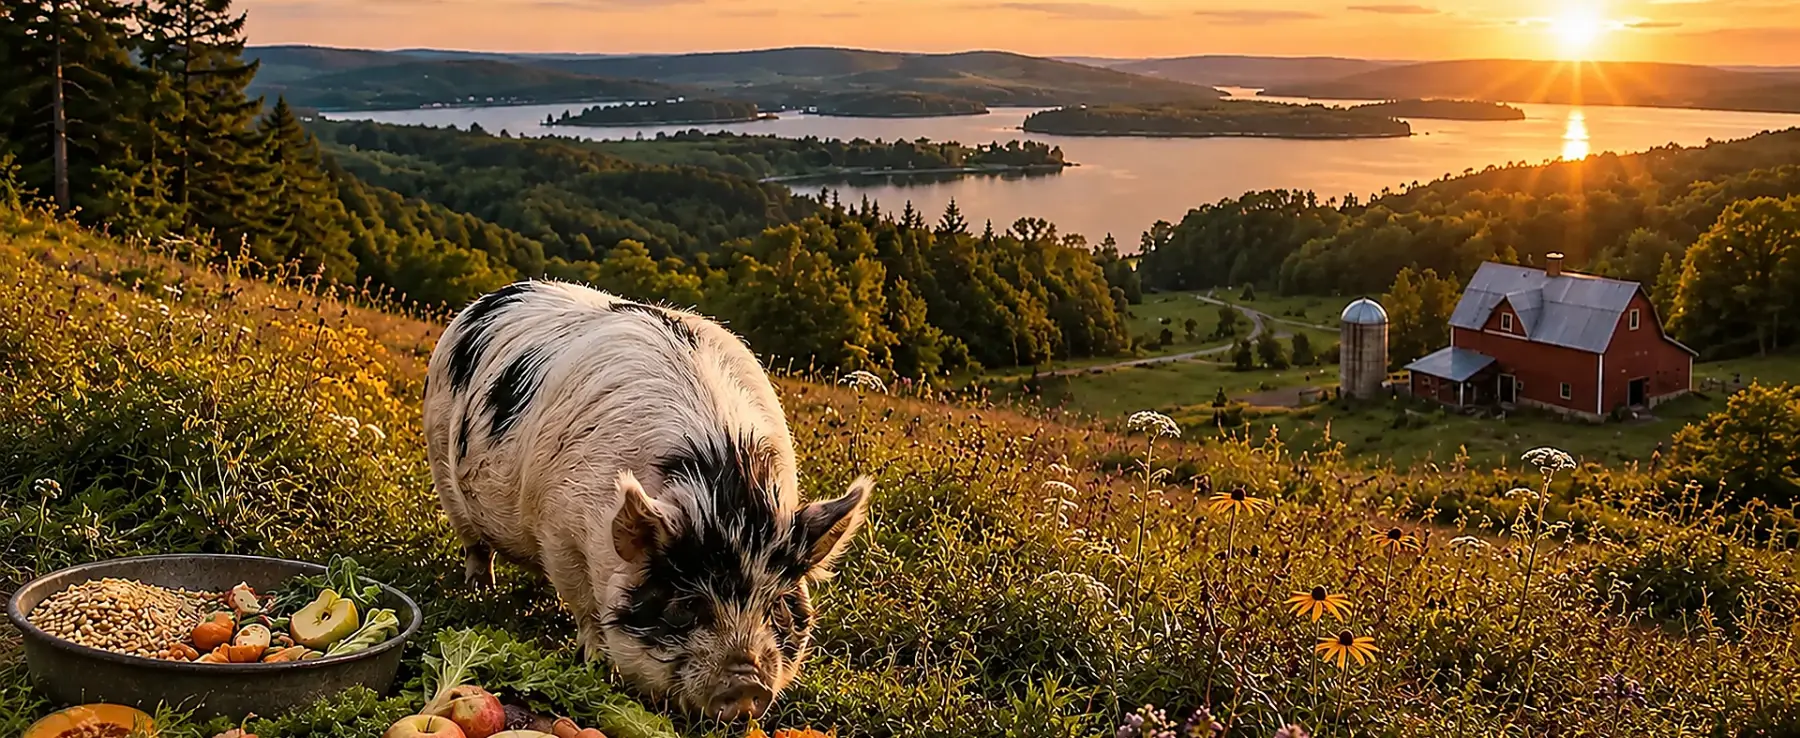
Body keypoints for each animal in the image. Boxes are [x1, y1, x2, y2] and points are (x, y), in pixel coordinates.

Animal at [422, 280, 872, 720]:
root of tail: (490, 297)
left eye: (777, 606)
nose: (746, 686)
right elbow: (586, 607)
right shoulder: (559, 532)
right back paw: (480, 589)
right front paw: (596, 664)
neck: (723, 493)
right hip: (440, 459)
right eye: (687, 604)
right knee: (475, 543)